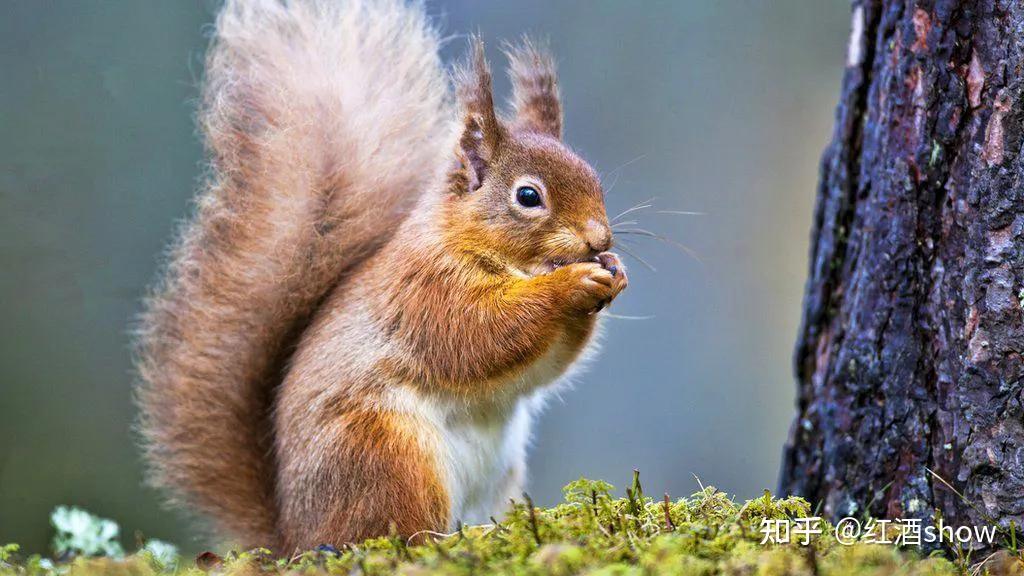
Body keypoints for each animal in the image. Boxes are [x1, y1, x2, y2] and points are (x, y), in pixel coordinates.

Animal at [137, 0, 626, 549]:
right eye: (528, 196)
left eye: (593, 176)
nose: (599, 239)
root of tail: (295, 535)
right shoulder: (425, 289)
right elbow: (481, 334)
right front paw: (570, 286)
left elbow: (543, 367)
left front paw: (613, 272)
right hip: (387, 452)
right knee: (396, 534)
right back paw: (448, 541)